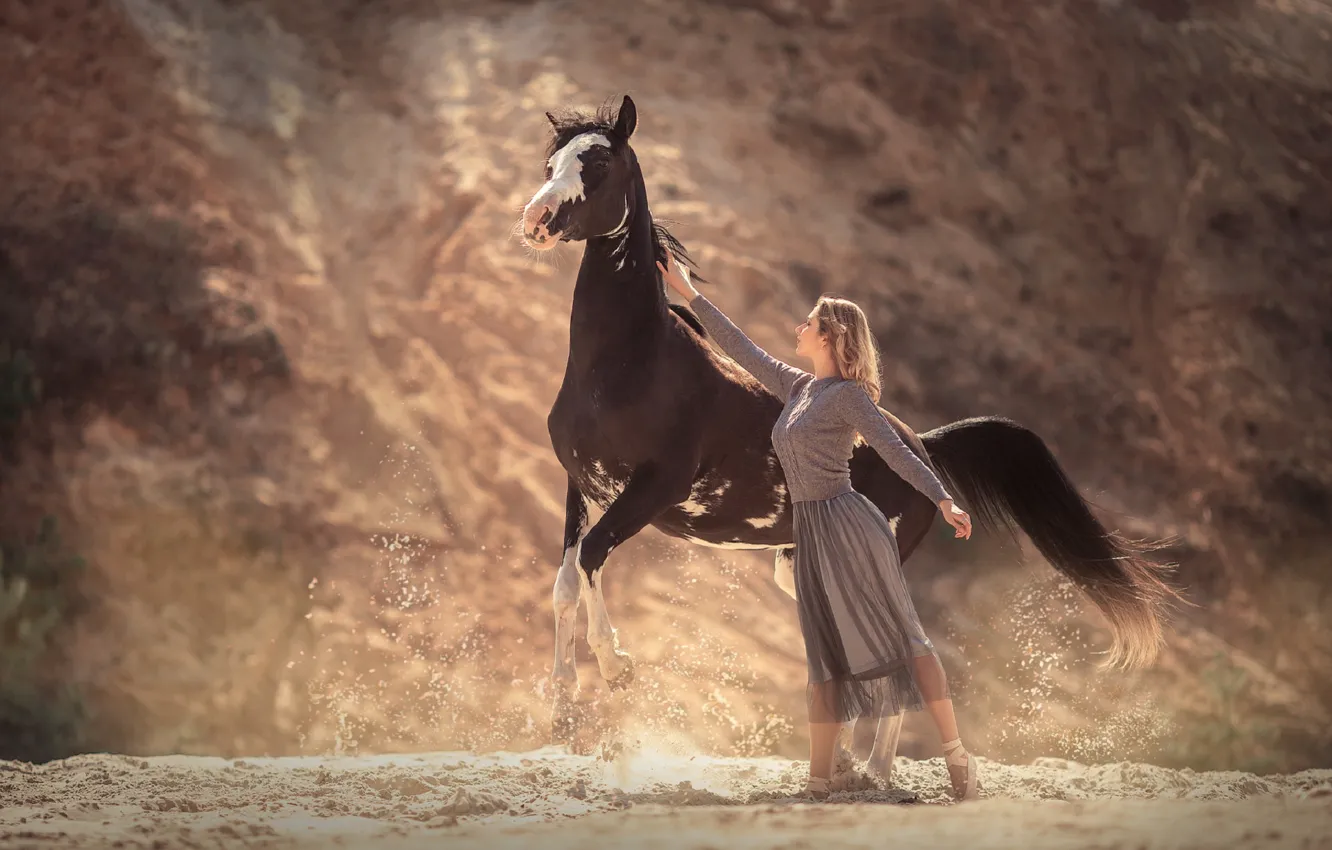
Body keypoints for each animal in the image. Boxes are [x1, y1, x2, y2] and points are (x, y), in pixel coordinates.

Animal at [519, 94, 1176, 781]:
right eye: (551, 162)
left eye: (598, 164)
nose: (534, 221)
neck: (631, 364)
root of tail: (922, 448)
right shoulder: (581, 485)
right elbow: (565, 584)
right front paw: (563, 701)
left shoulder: (652, 490)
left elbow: (592, 558)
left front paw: (616, 668)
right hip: (796, 567)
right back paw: (854, 765)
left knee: (900, 642)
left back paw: (878, 771)